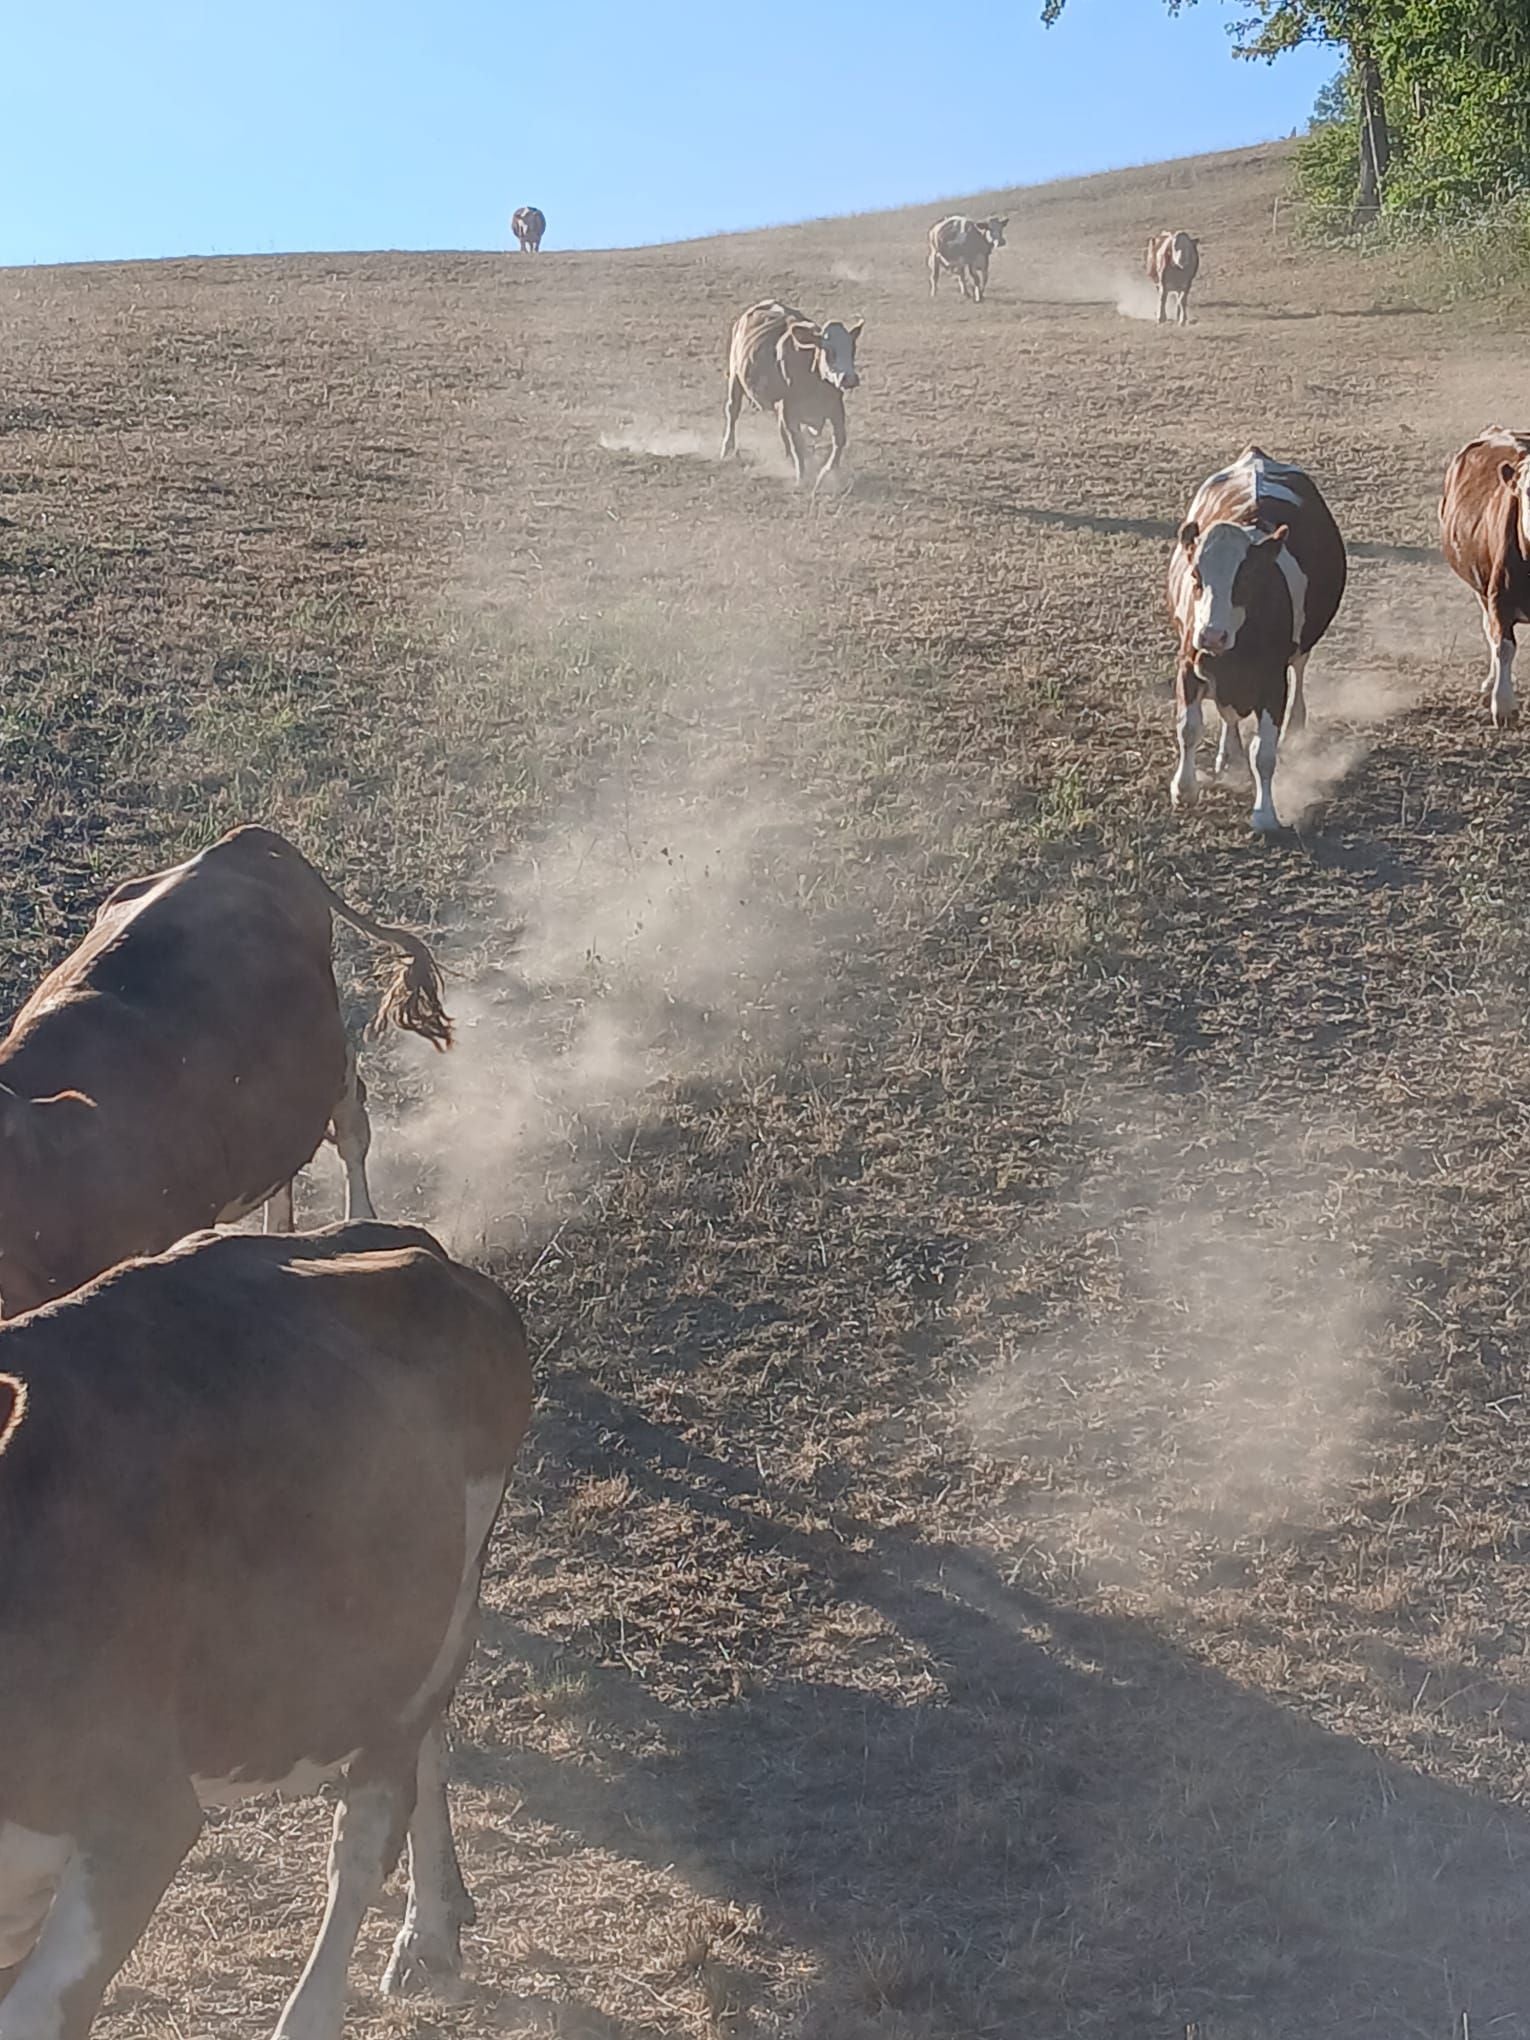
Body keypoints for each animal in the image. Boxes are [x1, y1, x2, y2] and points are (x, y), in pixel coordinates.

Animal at [0, 1219, 533, 2040]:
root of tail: (409, 1239)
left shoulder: (139, 1811)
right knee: (427, 1753)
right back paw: (432, 1933)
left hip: (442, 1604)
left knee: (369, 1828)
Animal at [720, 300, 863, 494]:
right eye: (828, 350)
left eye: (852, 348)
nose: (850, 378)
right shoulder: (790, 411)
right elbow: (798, 445)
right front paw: (802, 478)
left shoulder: (836, 409)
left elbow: (839, 440)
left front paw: (824, 473)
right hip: (735, 376)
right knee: (732, 411)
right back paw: (727, 449)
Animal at [1167, 447, 1347, 832]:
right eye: (1195, 575)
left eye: (1247, 578)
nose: (1212, 635)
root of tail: (1257, 455)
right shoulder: (1190, 664)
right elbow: (1189, 728)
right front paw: (1184, 789)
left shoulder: (1272, 682)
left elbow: (1264, 753)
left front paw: (1265, 813)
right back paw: (1228, 753)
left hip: (1300, 651)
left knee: (1300, 672)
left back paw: (1295, 727)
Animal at [1438, 428, 1530, 727]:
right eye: (1528, 490)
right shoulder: (1499, 597)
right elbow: (1504, 646)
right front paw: (1503, 705)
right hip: (1481, 589)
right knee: (1490, 632)